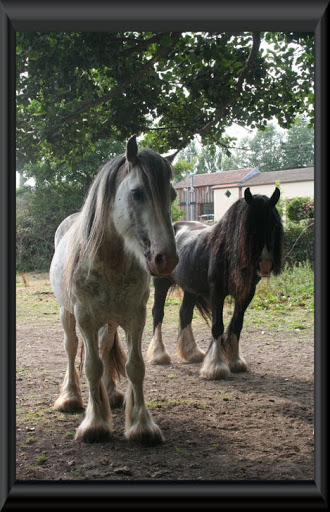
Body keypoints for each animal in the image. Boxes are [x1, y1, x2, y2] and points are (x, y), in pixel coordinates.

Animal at [49, 136, 178, 444]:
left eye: (172, 195)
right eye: (137, 193)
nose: (166, 259)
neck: (110, 261)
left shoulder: (135, 316)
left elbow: (135, 367)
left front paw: (142, 426)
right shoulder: (84, 317)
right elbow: (91, 366)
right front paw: (95, 424)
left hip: (108, 320)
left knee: (105, 347)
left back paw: (110, 393)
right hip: (66, 314)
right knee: (72, 349)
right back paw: (70, 398)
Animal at [147, 188, 284, 380]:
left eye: (274, 225)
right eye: (250, 228)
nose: (265, 265)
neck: (227, 251)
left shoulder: (246, 293)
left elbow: (237, 324)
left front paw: (235, 361)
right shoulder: (217, 292)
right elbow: (217, 325)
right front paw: (215, 367)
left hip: (190, 287)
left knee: (185, 313)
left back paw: (191, 353)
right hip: (161, 283)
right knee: (158, 313)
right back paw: (159, 355)